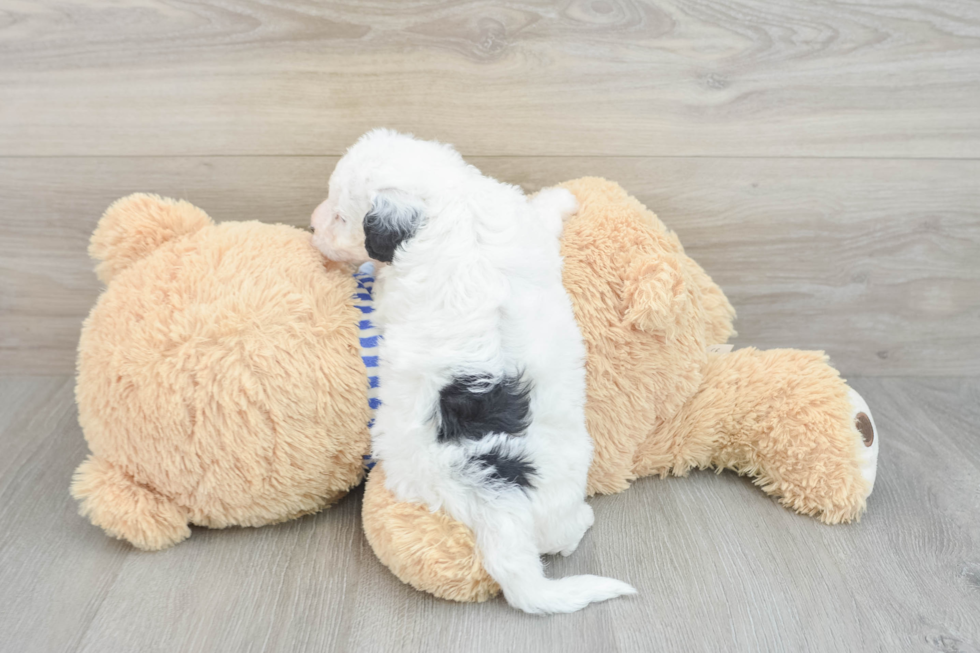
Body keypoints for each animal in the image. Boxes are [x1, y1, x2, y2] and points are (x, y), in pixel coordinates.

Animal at [310, 129, 640, 612]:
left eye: (339, 215)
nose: (313, 226)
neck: (449, 204)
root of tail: (495, 500)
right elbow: (542, 213)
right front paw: (563, 198)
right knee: (562, 537)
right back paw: (584, 519)